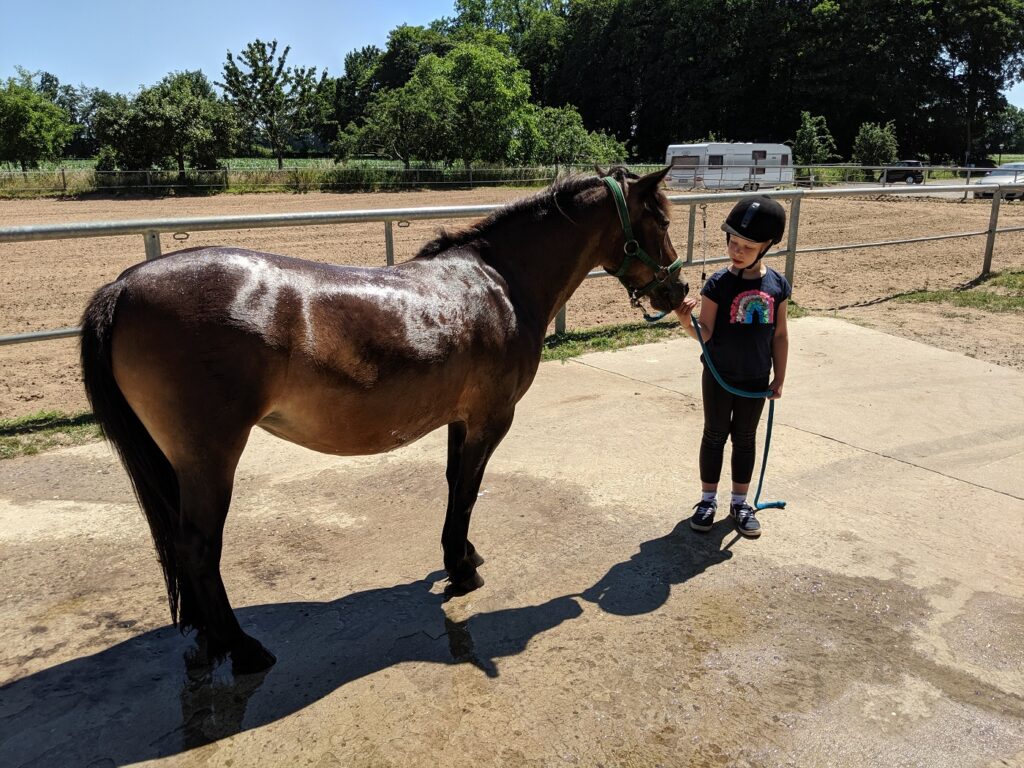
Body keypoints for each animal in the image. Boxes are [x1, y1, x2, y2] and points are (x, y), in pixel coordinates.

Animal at [79, 167, 688, 671]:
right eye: (660, 219)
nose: (678, 288)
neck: (499, 284)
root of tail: (123, 286)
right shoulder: (491, 419)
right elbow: (468, 491)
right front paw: (463, 571)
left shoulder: (461, 420)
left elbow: (455, 486)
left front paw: (461, 555)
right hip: (210, 458)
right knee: (198, 548)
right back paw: (244, 649)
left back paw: (211, 640)